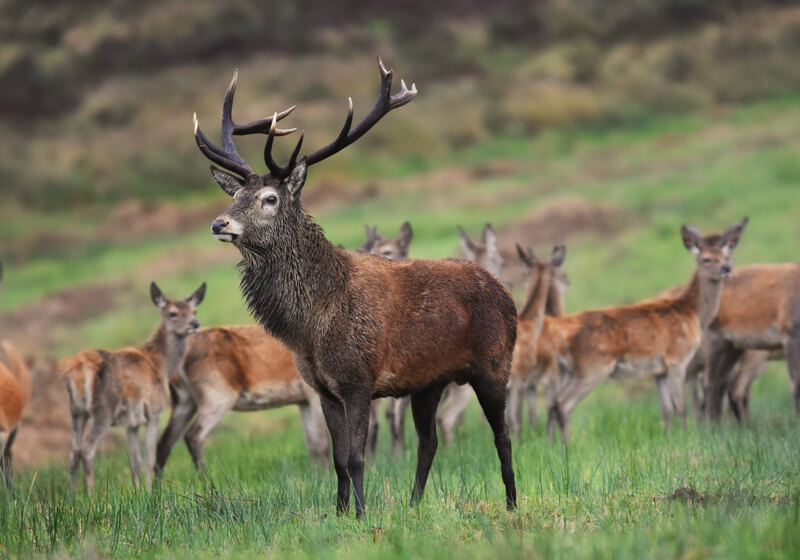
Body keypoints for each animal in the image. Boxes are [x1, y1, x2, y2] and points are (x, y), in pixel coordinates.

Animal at [60, 282, 205, 491]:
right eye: (172, 313)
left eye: (194, 310)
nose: (195, 324)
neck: (161, 364)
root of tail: (79, 370)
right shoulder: (154, 411)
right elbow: (149, 458)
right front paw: (150, 491)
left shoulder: (131, 422)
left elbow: (135, 461)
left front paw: (138, 491)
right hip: (103, 409)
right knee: (87, 450)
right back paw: (91, 494)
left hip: (77, 411)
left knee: (73, 453)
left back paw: (74, 494)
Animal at [155, 324, 329, 473]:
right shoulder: (313, 393)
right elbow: (322, 443)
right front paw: (325, 477)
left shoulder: (303, 400)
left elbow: (312, 444)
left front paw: (316, 475)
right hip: (217, 394)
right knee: (193, 435)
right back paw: (206, 481)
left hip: (184, 399)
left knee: (164, 443)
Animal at [193, 58, 517, 517]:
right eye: (235, 194)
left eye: (270, 198)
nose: (219, 223)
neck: (311, 326)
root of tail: (505, 292)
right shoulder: (323, 389)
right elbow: (336, 459)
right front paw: (341, 513)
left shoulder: (358, 379)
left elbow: (357, 456)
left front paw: (363, 516)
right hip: (429, 381)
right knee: (428, 441)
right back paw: (414, 505)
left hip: (495, 365)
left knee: (502, 435)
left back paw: (511, 502)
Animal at [545, 219, 747, 439]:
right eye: (706, 259)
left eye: (728, 256)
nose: (727, 268)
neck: (693, 313)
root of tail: (560, 332)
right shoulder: (677, 358)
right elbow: (681, 406)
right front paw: (686, 436)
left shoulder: (659, 370)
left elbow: (667, 409)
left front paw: (669, 437)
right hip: (593, 366)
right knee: (564, 404)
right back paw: (567, 443)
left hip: (568, 370)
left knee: (553, 402)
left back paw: (554, 442)